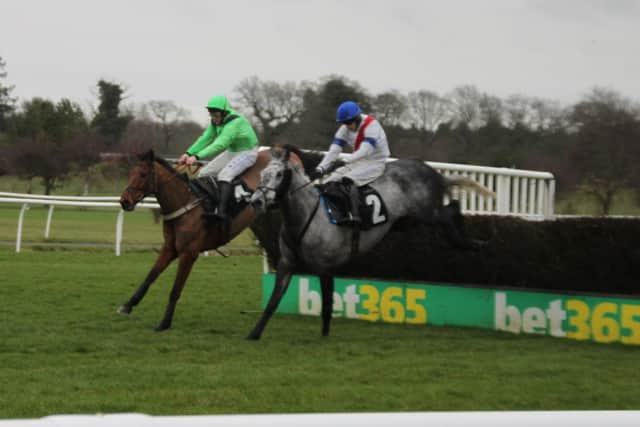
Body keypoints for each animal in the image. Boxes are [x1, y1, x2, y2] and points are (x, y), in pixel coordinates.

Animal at [119, 149, 306, 332]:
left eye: (143, 174)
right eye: (130, 173)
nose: (124, 201)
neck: (185, 203)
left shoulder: (189, 253)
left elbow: (175, 289)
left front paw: (164, 322)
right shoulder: (170, 248)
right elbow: (150, 276)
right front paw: (128, 305)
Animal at [246, 145, 496, 340]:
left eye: (279, 175)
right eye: (262, 173)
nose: (256, 200)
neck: (306, 215)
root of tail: (432, 172)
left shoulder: (325, 267)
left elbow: (327, 302)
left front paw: (324, 334)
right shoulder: (287, 263)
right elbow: (273, 301)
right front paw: (255, 333)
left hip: (426, 213)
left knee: (451, 209)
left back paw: (472, 243)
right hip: (408, 221)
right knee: (450, 210)